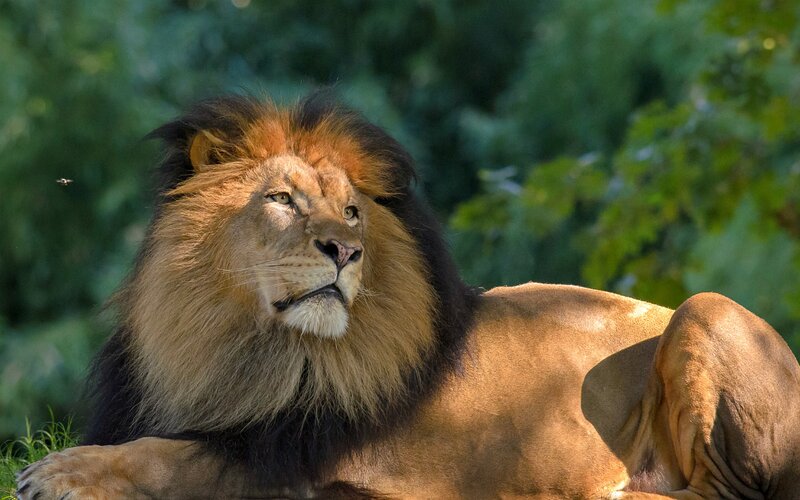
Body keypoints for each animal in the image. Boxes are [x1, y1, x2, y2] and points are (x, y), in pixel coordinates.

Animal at [16, 93, 800, 499]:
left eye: (352, 212)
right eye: (281, 200)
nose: (345, 251)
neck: (233, 344)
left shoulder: (292, 452)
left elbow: (169, 456)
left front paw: (59, 472)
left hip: (707, 309)